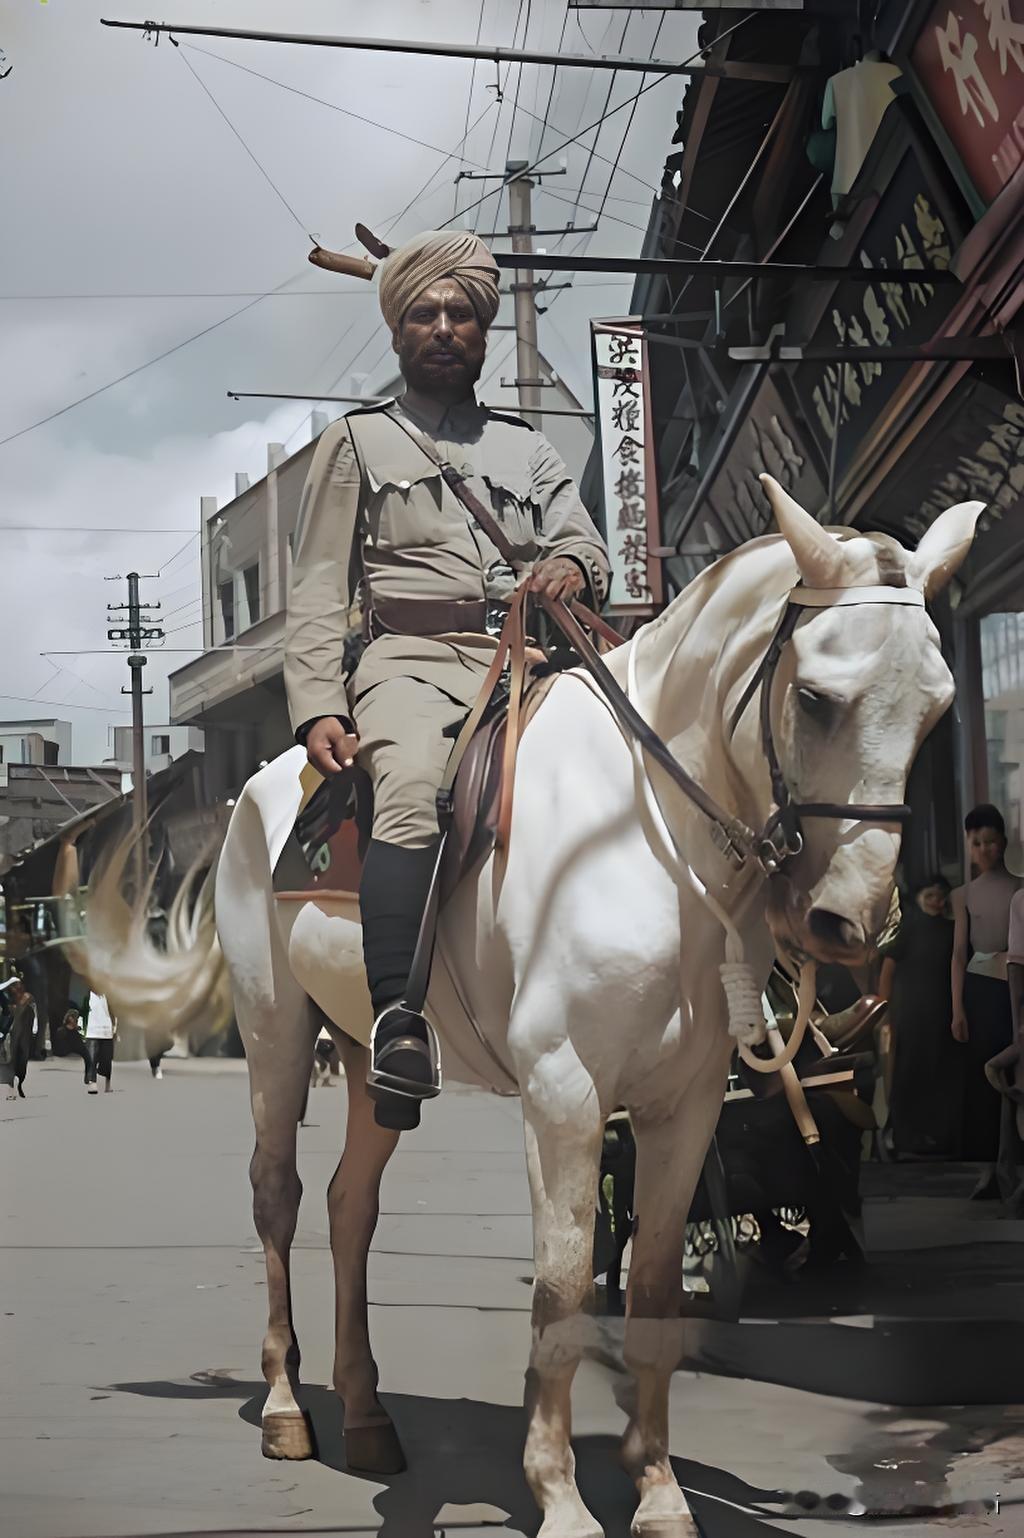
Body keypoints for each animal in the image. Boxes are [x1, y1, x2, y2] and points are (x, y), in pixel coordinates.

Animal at [67, 479, 977, 1538]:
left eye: (938, 709)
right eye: (817, 699)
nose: (847, 921)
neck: (646, 830)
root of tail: (266, 785)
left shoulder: (685, 1103)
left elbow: (655, 1280)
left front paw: (659, 1490)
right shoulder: (567, 1094)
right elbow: (564, 1282)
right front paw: (560, 1493)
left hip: (367, 1055)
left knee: (349, 1204)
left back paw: (368, 1413)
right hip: (277, 1035)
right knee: (277, 1195)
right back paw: (292, 1406)